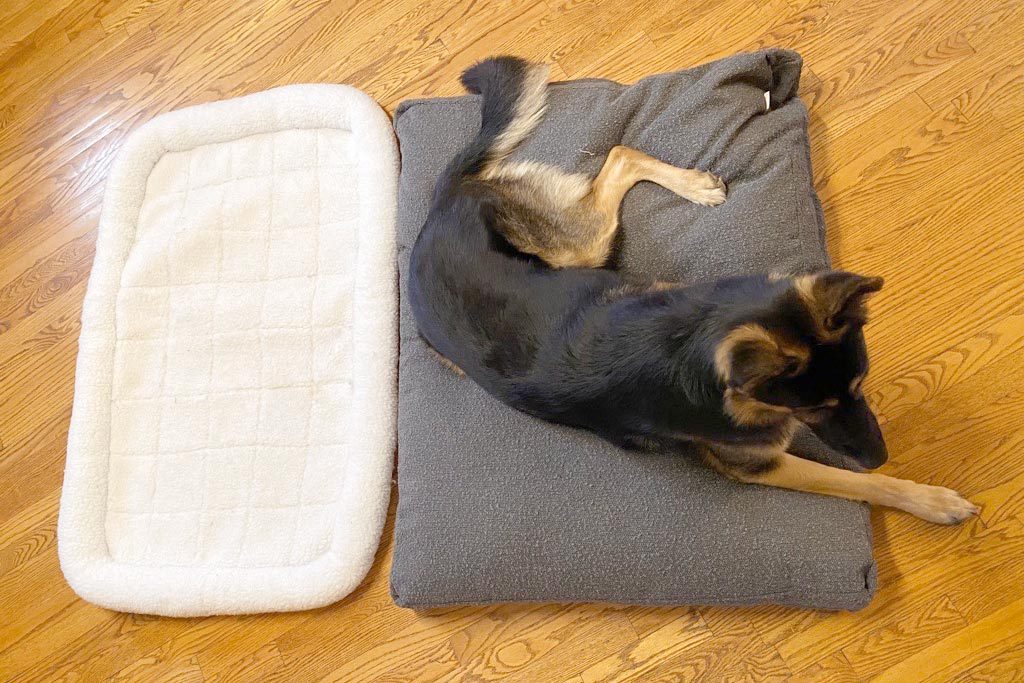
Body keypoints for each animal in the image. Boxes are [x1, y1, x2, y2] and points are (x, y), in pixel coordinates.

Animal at [407, 56, 974, 528]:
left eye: (861, 385)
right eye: (813, 409)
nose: (881, 455)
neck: (703, 346)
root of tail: (438, 206)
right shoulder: (758, 463)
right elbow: (852, 481)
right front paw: (927, 498)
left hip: (582, 251)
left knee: (619, 154)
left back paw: (694, 187)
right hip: (579, 245)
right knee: (616, 158)